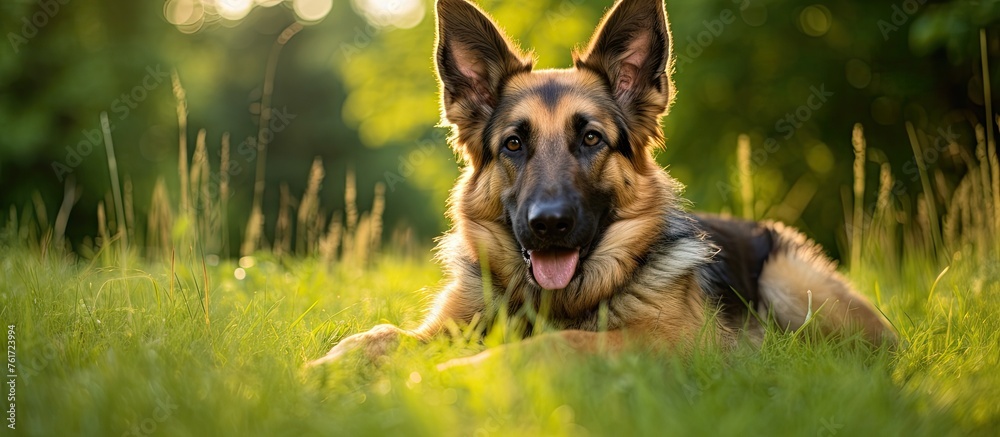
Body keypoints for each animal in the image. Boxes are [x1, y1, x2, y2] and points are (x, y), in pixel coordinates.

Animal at [308, 0, 896, 368]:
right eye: (513, 145)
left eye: (591, 139)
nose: (548, 225)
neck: (558, 300)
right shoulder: (442, 329)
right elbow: (381, 335)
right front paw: (325, 369)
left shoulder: (666, 342)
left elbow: (555, 345)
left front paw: (455, 373)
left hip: (789, 283)